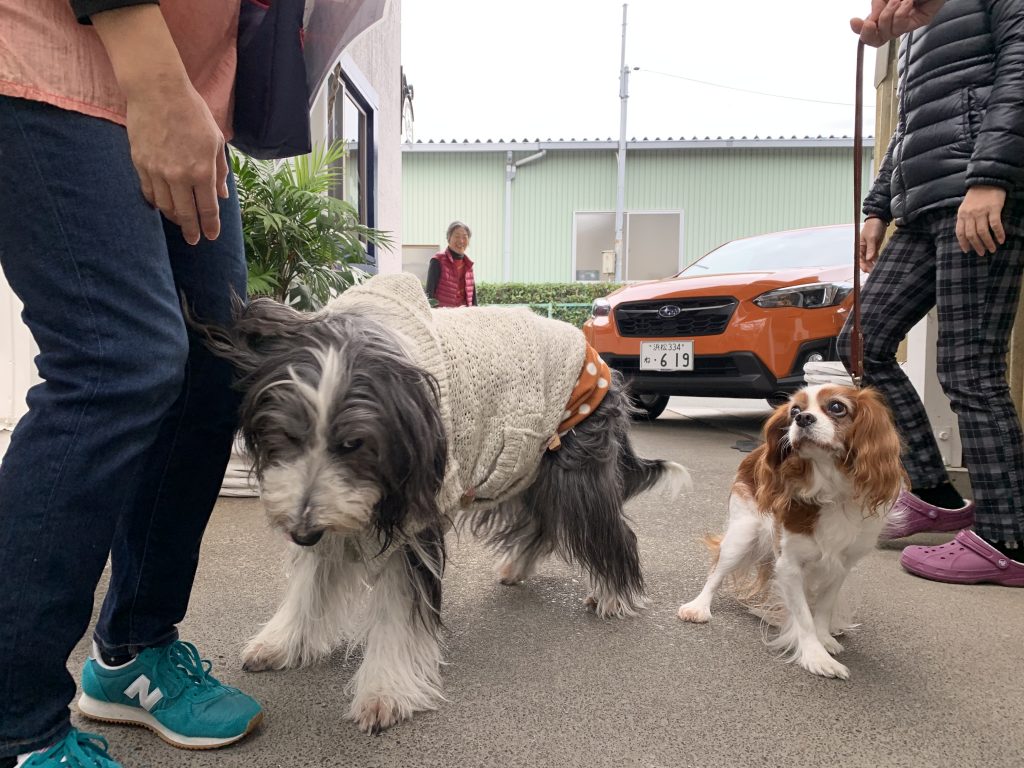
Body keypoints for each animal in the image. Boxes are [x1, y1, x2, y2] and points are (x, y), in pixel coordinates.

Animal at [194, 292, 684, 733]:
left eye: (353, 444)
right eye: (288, 436)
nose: (301, 533)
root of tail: (593, 354)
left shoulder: (412, 520)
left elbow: (398, 607)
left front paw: (384, 693)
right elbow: (310, 584)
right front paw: (281, 643)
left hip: (570, 464)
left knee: (607, 530)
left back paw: (616, 594)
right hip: (524, 461)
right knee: (541, 521)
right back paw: (518, 567)